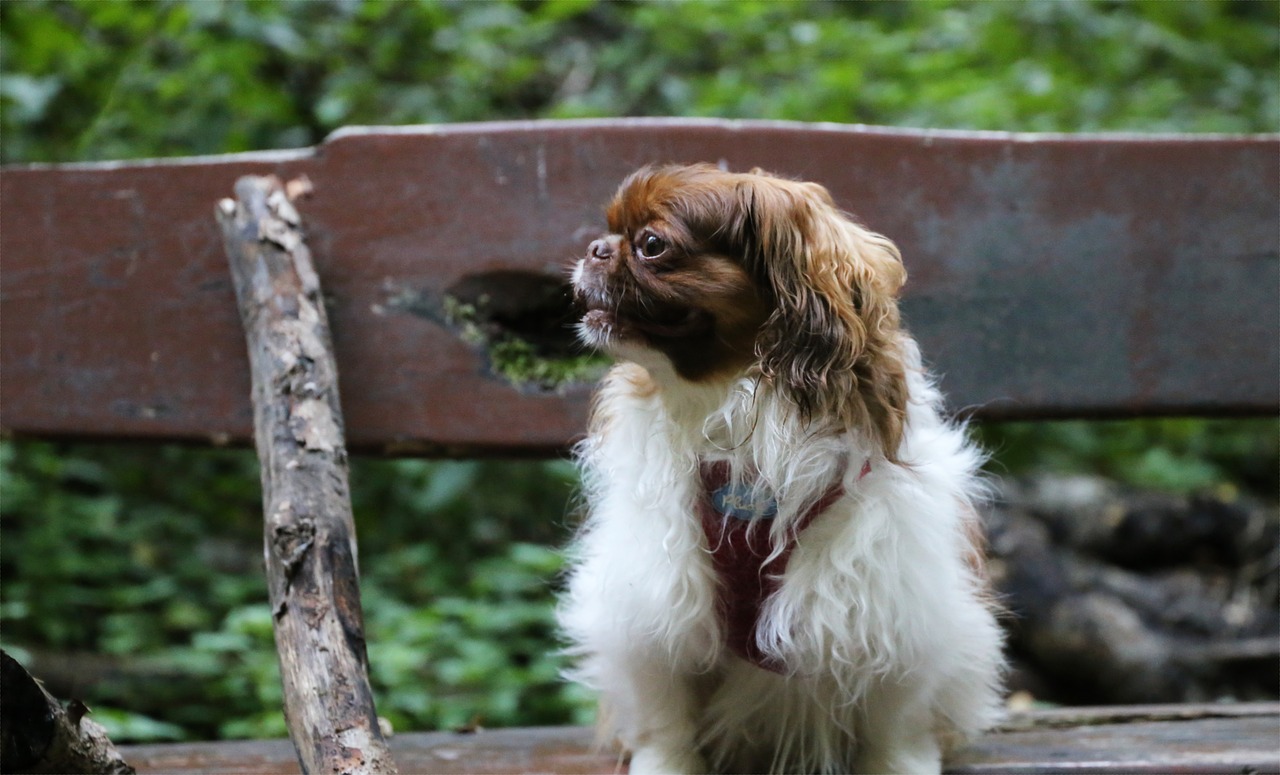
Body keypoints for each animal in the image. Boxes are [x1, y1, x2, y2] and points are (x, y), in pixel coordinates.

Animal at [555, 165, 1003, 773]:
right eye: (610, 232)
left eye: (651, 245)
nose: (596, 248)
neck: (730, 409)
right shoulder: (656, 598)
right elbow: (666, 715)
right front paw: (665, 764)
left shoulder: (892, 607)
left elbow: (896, 723)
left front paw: (899, 764)